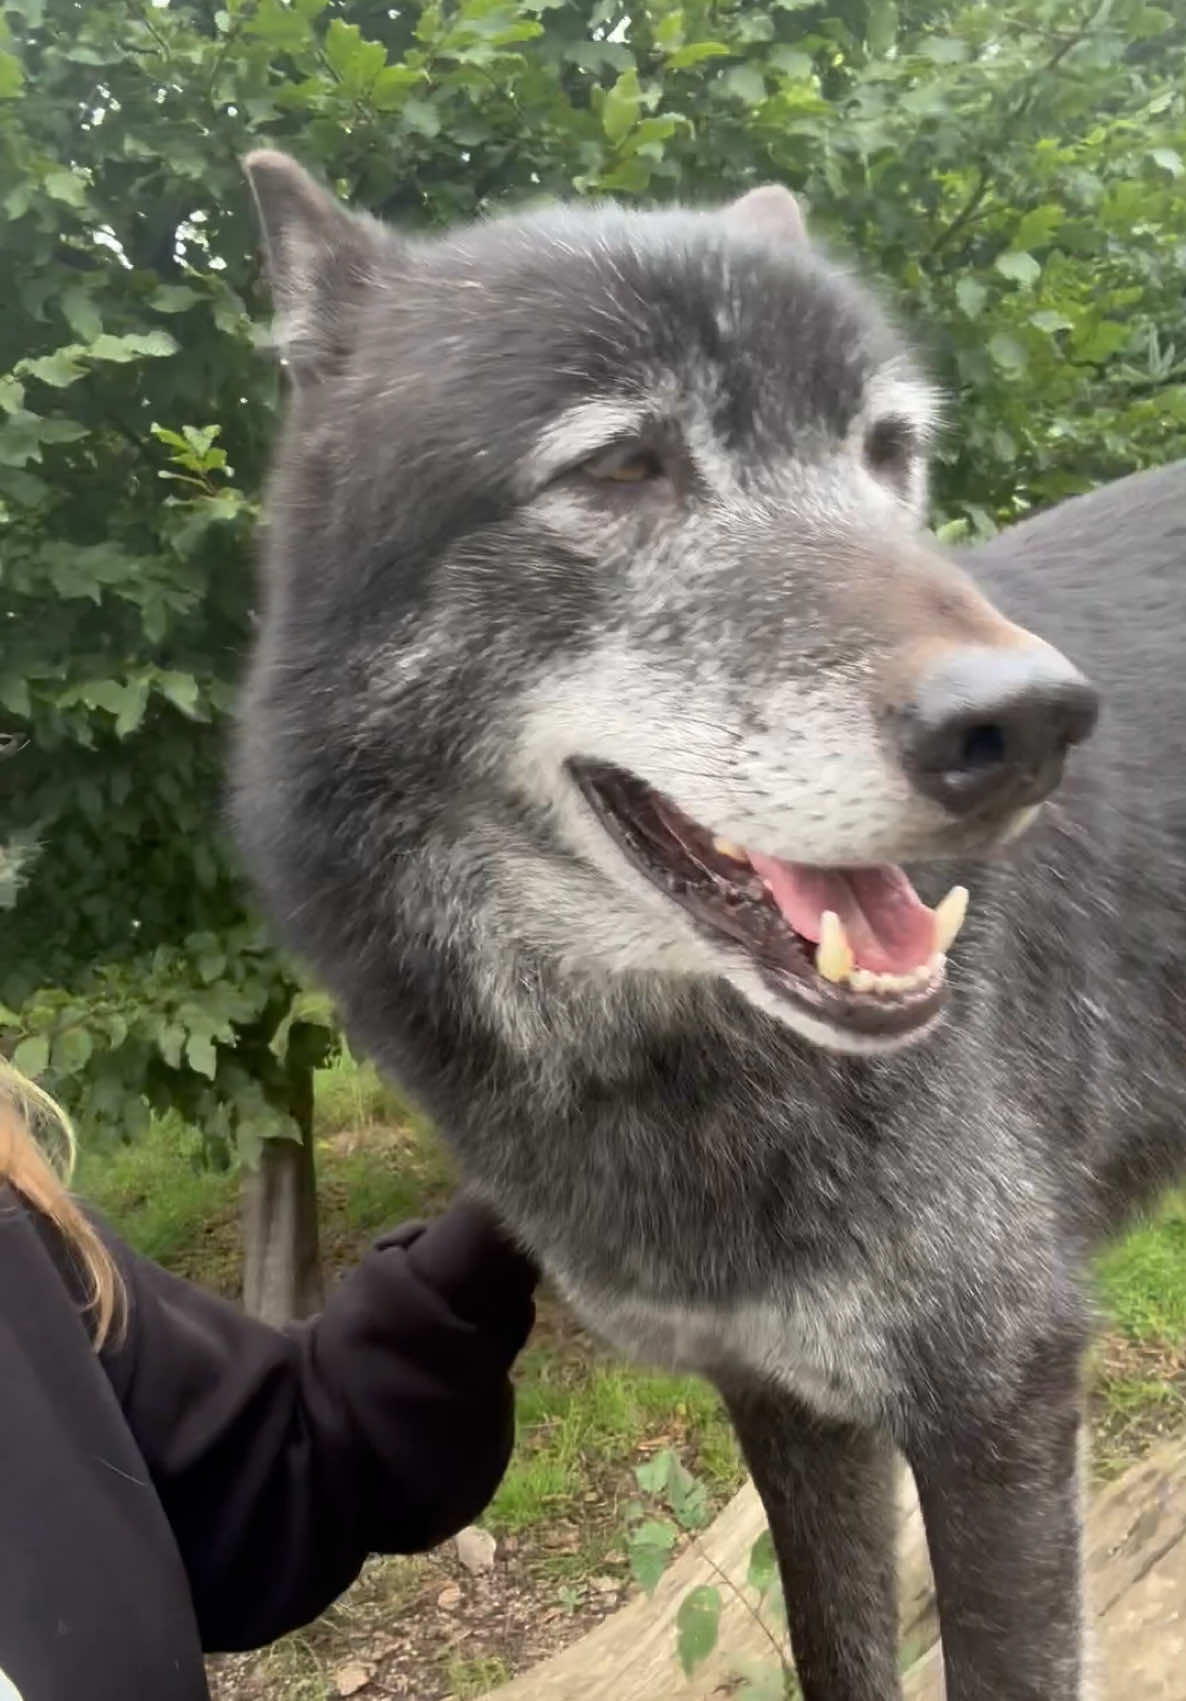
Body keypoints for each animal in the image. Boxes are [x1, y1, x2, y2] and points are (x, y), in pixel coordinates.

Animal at [234, 148, 1186, 1700]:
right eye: (622, 465)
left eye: (884, 454)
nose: (1035, 724)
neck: (668, 1066)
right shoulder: (787, 1399)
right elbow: (837, 1652)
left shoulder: (998, 1398)